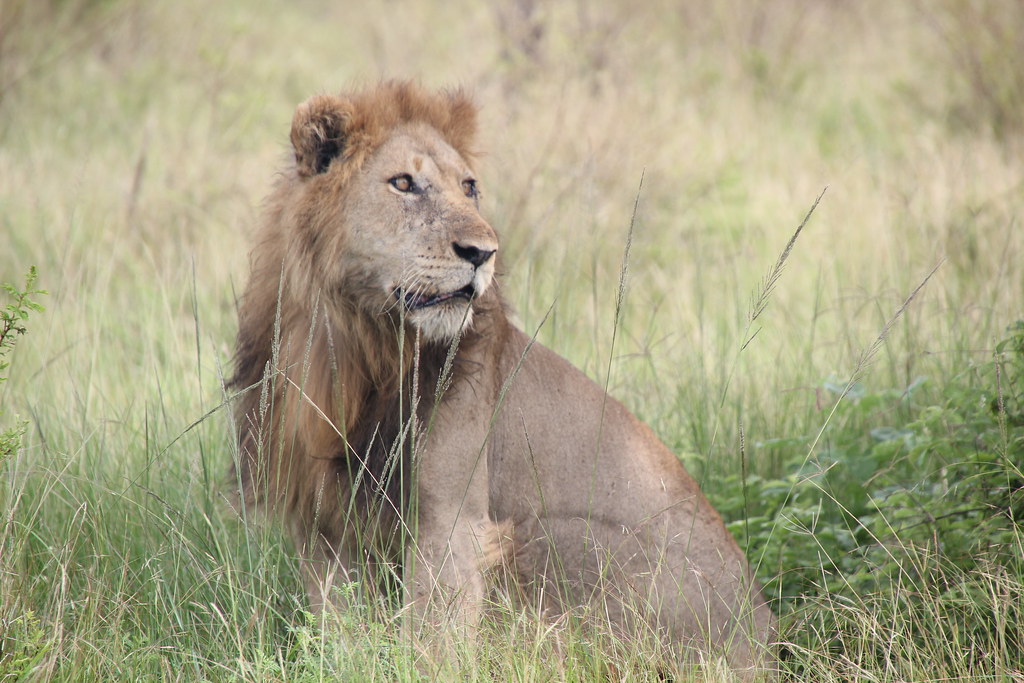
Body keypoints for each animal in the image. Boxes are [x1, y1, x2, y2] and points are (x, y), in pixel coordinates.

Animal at [230, 82, 774, 675]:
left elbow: (434, 641)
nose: (483, 253)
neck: (351, 345)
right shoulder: (322, 520)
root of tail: (765, 641)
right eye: (404, 183)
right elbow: (340, 628)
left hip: (545, 535)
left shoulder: (452, 519)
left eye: (469, 188)